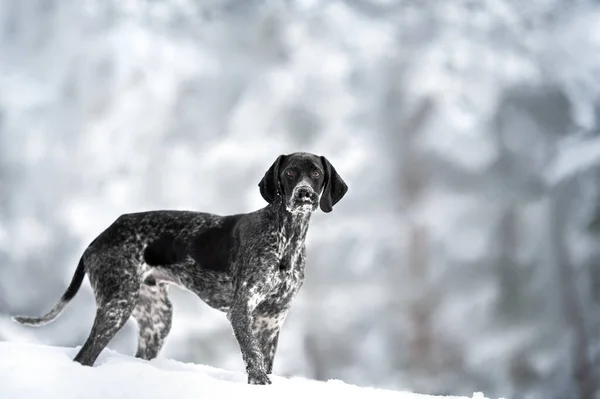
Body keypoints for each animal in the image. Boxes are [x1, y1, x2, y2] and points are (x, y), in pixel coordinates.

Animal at [12, 152, 346, 384]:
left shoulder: (272, 320)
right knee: (84, 355)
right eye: (290, 173)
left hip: (156, 319)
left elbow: (264, 358)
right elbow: (253, 356)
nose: (304, 193)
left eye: (316, 173)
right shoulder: (241, 310)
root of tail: (98, 238)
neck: (287, 238)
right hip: (117, 305)